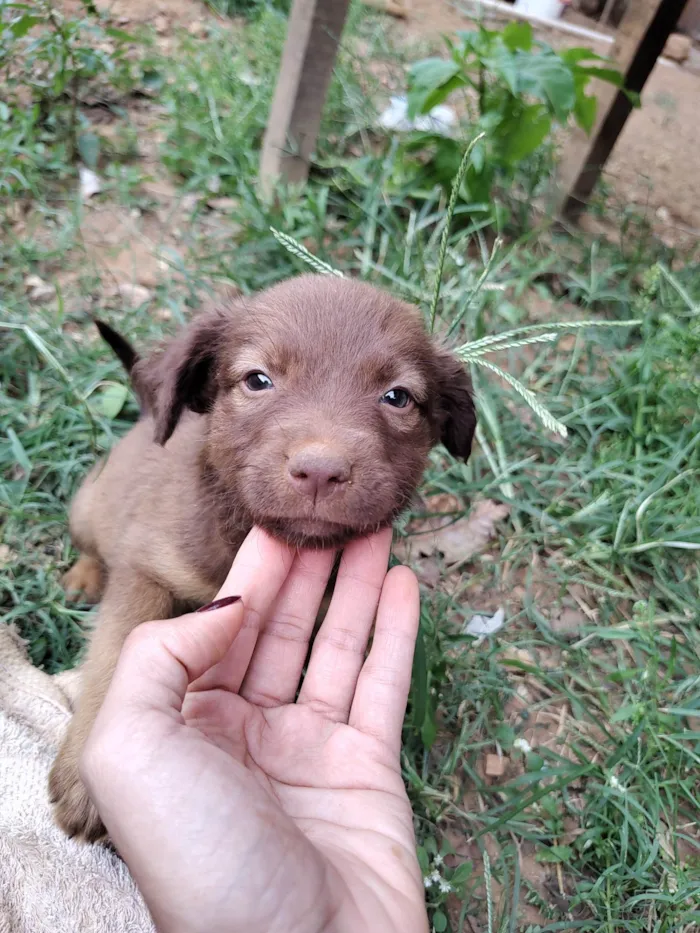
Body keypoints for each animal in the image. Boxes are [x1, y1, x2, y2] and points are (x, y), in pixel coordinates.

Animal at [47, 274, 476, 840]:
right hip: (88, 506)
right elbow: (115, 653)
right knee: (92, 545)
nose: (321, 471)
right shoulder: (146, 568)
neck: (237, 530)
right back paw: (83, 575)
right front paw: (85, 777)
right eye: (258, 380)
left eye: (397, 397)